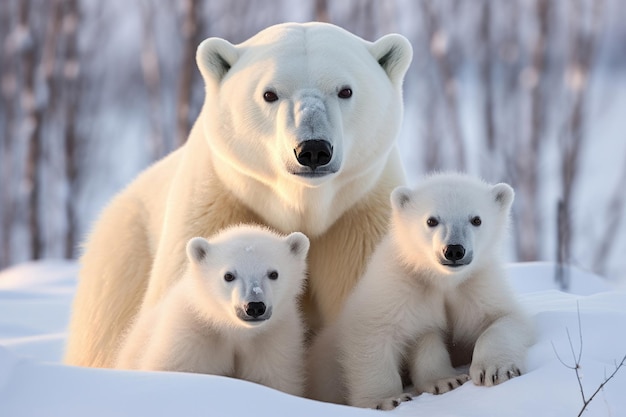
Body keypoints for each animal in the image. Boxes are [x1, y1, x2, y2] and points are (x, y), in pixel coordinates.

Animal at [66, 22, 412, 368]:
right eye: (269, 94)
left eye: (345, 90)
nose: (313, 149)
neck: (303, 205)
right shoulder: (218, 206)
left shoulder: (360, 217)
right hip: (123, 255)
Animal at [113, 226, 308, 394]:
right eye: (228, 275)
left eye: (274, 273)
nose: (254, 306)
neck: (233, 330)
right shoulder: (190, 336)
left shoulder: (271, 342)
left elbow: (273, 378)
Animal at [308, 172, 532, 410]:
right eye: (431, 220)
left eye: (476, 219)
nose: (454, 250)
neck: (442, 280)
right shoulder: (401, 286)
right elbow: (373, 334)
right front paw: (388, 399)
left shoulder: (475, 287)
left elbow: (504, 318)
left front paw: (495, 370)